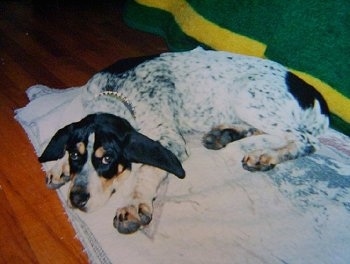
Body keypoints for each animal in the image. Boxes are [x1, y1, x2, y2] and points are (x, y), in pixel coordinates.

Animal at [39, 47, 330, 233]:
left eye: (108, 159)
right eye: (75, 155)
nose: (76, 199)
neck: (116, 92)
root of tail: (316, 95)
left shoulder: (170, 140)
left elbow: (147, 170)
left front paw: (133, 204)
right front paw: (60, 166)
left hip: (246, 94)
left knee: (304, 140)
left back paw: (261, 154)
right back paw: (225, 134)